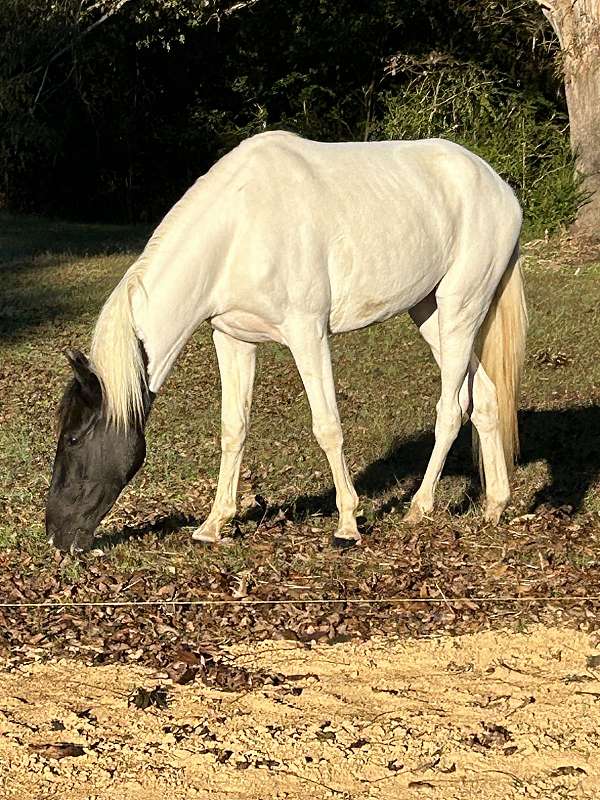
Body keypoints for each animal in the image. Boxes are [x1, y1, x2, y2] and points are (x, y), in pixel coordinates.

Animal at [45, 133, 524, 556]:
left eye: (73, 438)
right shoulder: (233, 339)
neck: (237, 230)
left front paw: (347, 525)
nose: (56, 535)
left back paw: (420, 508)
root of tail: (499, 188)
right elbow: (233, 429)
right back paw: (494, 507)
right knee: (484, 398)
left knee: (451, 409)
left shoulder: (307, 333)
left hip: (460, 307)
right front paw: (213, 525)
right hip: (430, 313)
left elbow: (328, 427)